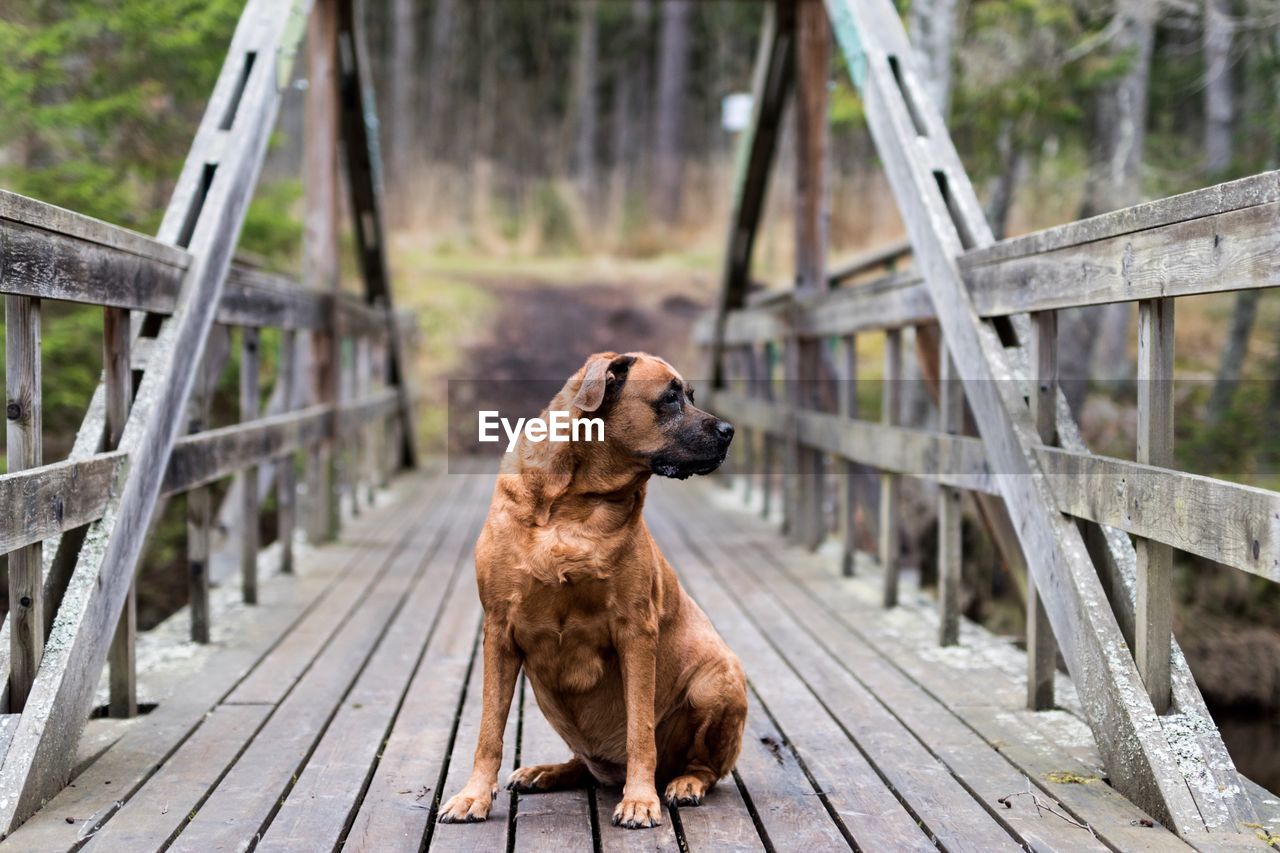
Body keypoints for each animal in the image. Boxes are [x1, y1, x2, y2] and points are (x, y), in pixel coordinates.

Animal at [437, 348, 747, 824]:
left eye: (690, 396)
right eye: (670, 398)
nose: (730, 431)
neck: (574, 501)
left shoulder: (635, 631)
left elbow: (640, 730)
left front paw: (639, 800)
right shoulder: (499, 631)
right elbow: (489, 729)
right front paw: (474, 795)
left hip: (718, 683)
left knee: (705, 766)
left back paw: (684, 783)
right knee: (584, 764)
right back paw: (546, 772)